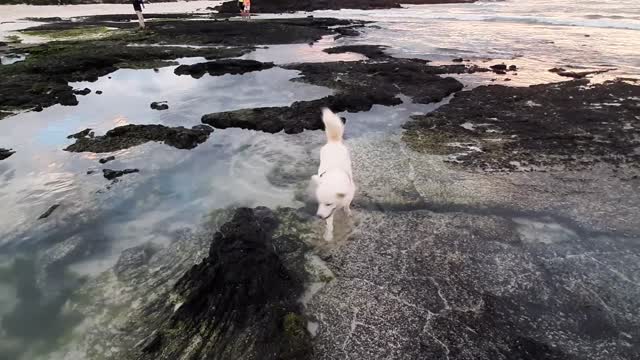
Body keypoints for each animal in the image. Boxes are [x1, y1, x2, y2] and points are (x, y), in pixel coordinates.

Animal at [314, 107, 358, 242]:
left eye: (328, 203)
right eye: (318, 202)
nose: (319, 216)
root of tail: (333, 141)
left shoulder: (348, 195)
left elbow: (347, 205)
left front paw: (347, 211)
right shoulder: (328, 212)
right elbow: (329, 223)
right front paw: (328, 235)